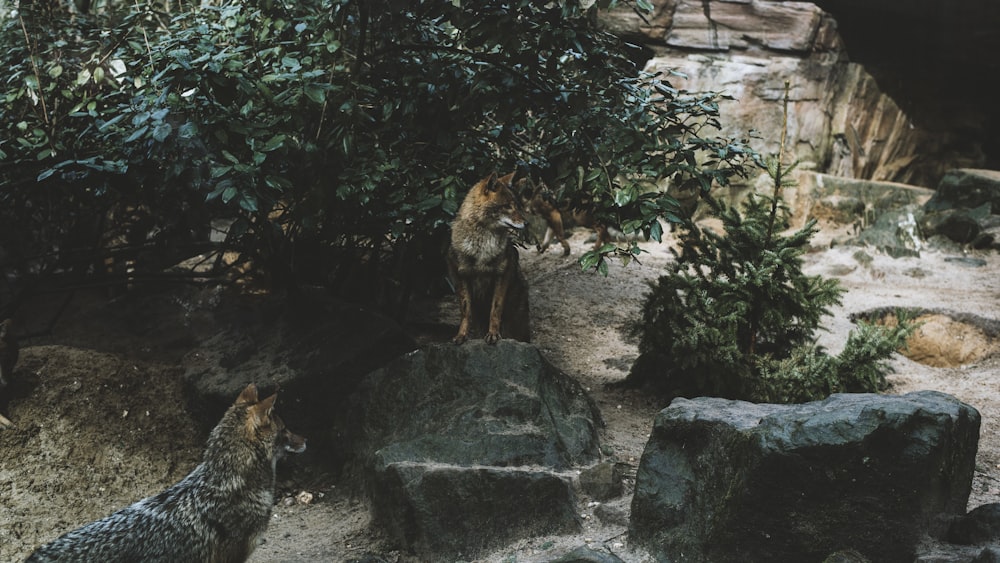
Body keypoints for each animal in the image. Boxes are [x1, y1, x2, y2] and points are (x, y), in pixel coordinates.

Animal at [448, 172, 532, 346]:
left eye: (516, 205)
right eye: (507, 206)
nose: (527, 223)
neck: (482, 247)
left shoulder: (502, 274)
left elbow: (496, 308)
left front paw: (493, 334)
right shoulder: (460, 276)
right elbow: (465, 311)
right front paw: (461, 336)